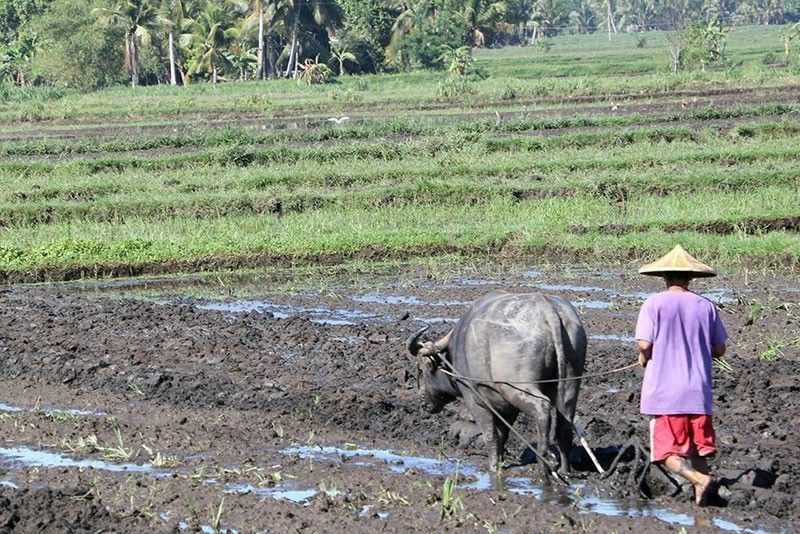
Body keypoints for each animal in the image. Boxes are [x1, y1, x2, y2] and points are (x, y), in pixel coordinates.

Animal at [406, 294, 588, 478]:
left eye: (421, 370)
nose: (422, 400)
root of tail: (547, 309)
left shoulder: (476, 402)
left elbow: (491, 435)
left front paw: (493, 467)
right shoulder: (506, 408)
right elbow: (502, 434)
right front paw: (500, 461)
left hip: (517, 388)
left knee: (542, 408)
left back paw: (544, 466)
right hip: (570, 383)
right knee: (565, 423)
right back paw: (565, 470)